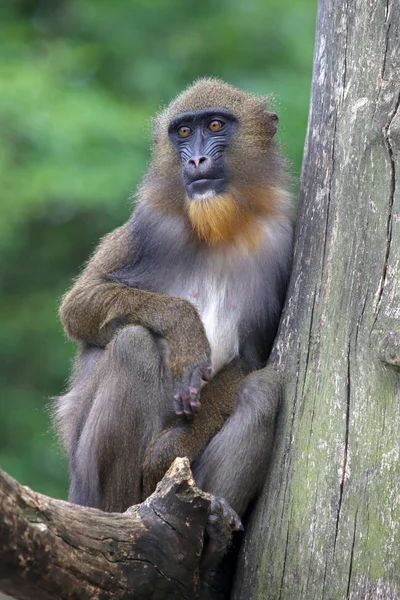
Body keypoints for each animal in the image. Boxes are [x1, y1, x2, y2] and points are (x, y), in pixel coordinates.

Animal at [53, 77, 292, 592]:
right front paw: (185, 329)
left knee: (263, 392)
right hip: (84, 481)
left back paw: (215, 524)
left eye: (216, 125)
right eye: (183, 131)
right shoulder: (147, 228)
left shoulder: (280, 245)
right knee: (132, 345)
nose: (196, 160)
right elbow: (78, 308)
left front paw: (165, 452)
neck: (221, 227)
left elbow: (253, 360)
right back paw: (125, 519)